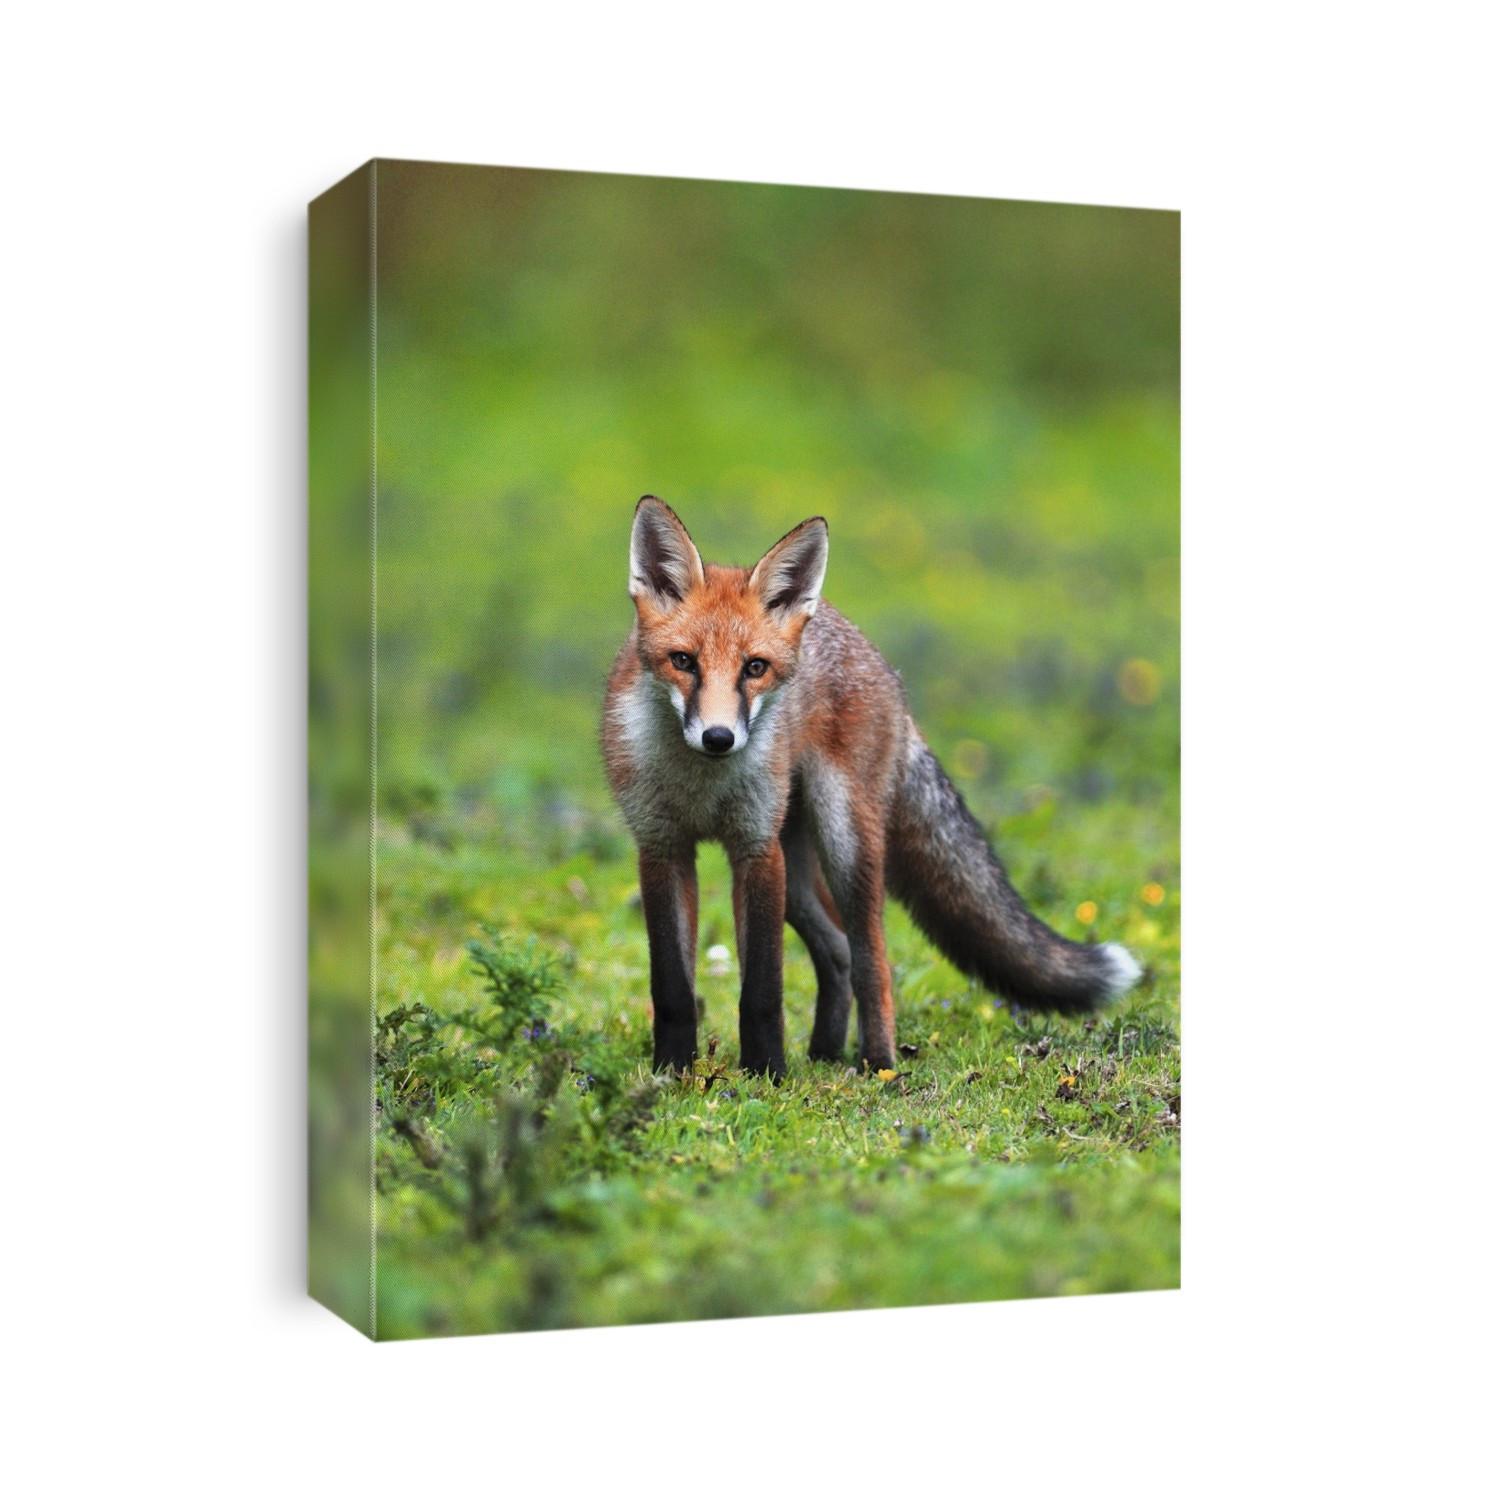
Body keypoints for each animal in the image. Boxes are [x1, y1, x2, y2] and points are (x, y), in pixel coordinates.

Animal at [601, 495, 1142, 1081]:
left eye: (755, 668)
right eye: (683, 661)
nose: (719, 738)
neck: (701, 786)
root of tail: (882, 662)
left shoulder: (756, 848)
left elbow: (763, 987)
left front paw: (765, 1072)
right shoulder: (662, 848)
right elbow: (672, 987)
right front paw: (672, 1071)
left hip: (843, 845)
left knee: (873, 961)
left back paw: (877, 1065)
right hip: (797, 873)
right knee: (838, 950)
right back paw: (824, 1052)